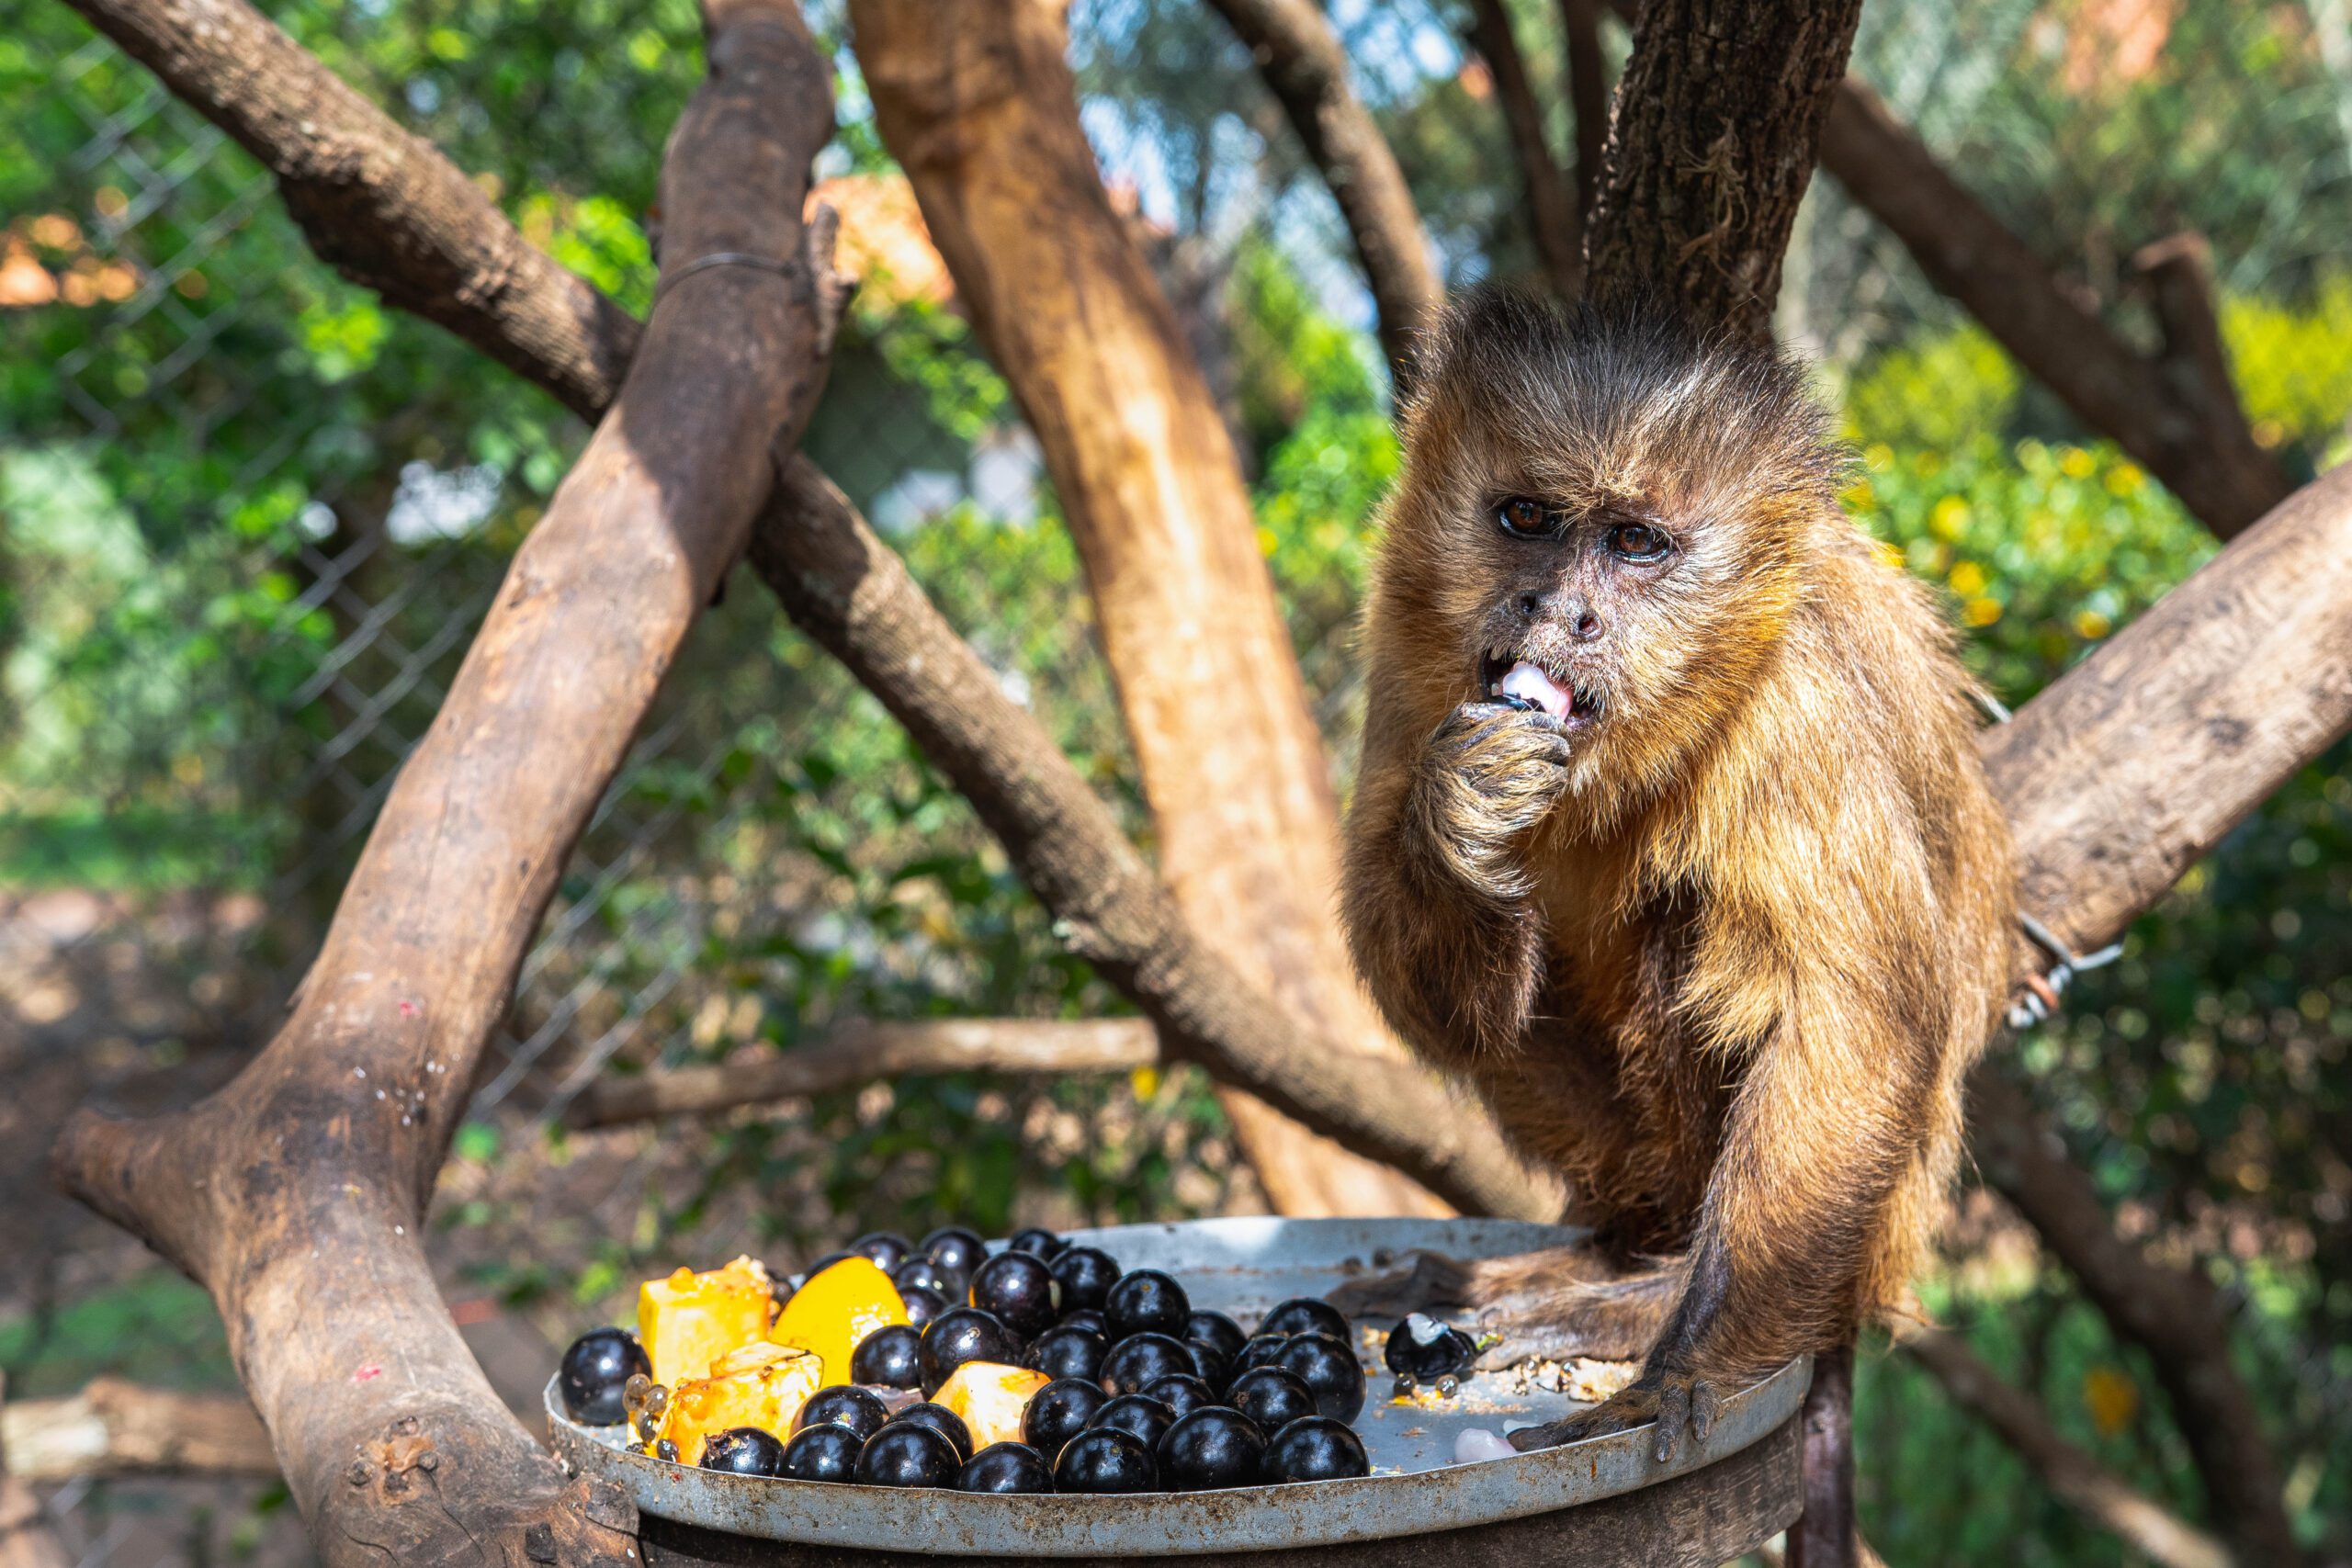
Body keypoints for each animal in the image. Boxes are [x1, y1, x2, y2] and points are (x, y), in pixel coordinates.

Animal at [1337, 292, 2017, 1458]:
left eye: (1634, 544)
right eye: (1527, 519)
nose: (1555, 611)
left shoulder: (1799, 693)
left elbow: (1859, 1028)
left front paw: (1683, 1364)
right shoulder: (1409, 646)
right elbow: (1443, 1009)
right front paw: (1461, 816)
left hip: (1877, 1232)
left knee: (1695, 929)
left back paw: (1643, 1297)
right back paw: (1605, 1251)